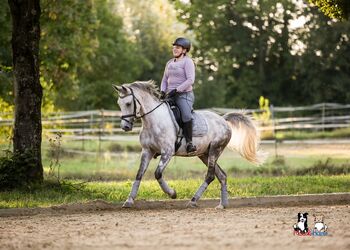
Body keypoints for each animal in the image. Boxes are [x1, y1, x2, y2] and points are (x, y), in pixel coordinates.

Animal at [114, 80, 266, 209]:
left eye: (128, 103)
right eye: (119, 103)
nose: (125, 127)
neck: (153, 121)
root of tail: (223, 120)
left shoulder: (167, 152)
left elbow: (157, 173)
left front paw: (172, 193)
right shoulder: (147, 151)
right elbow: (139, 174)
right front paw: (129, 201)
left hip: (214, 150)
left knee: (210, 176)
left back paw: (193, 201)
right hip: (205, 154)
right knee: (221, 175)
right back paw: (222, 205)